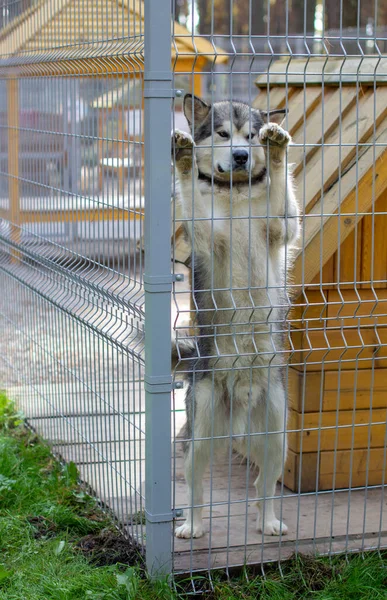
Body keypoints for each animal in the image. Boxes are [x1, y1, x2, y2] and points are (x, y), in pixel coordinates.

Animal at [171, 94, 302, 540]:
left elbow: (282, 189)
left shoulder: (282, 227)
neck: (237, 195)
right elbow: (190, 192)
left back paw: (269, 521)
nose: (243, 157)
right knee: (196, 488)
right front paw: (182, 157)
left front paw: (278, 149)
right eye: (223, 134)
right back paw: (192, 525)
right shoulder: (207, 235)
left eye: (251, 136)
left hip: (277, 435)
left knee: (264, 484)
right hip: (201, 431)